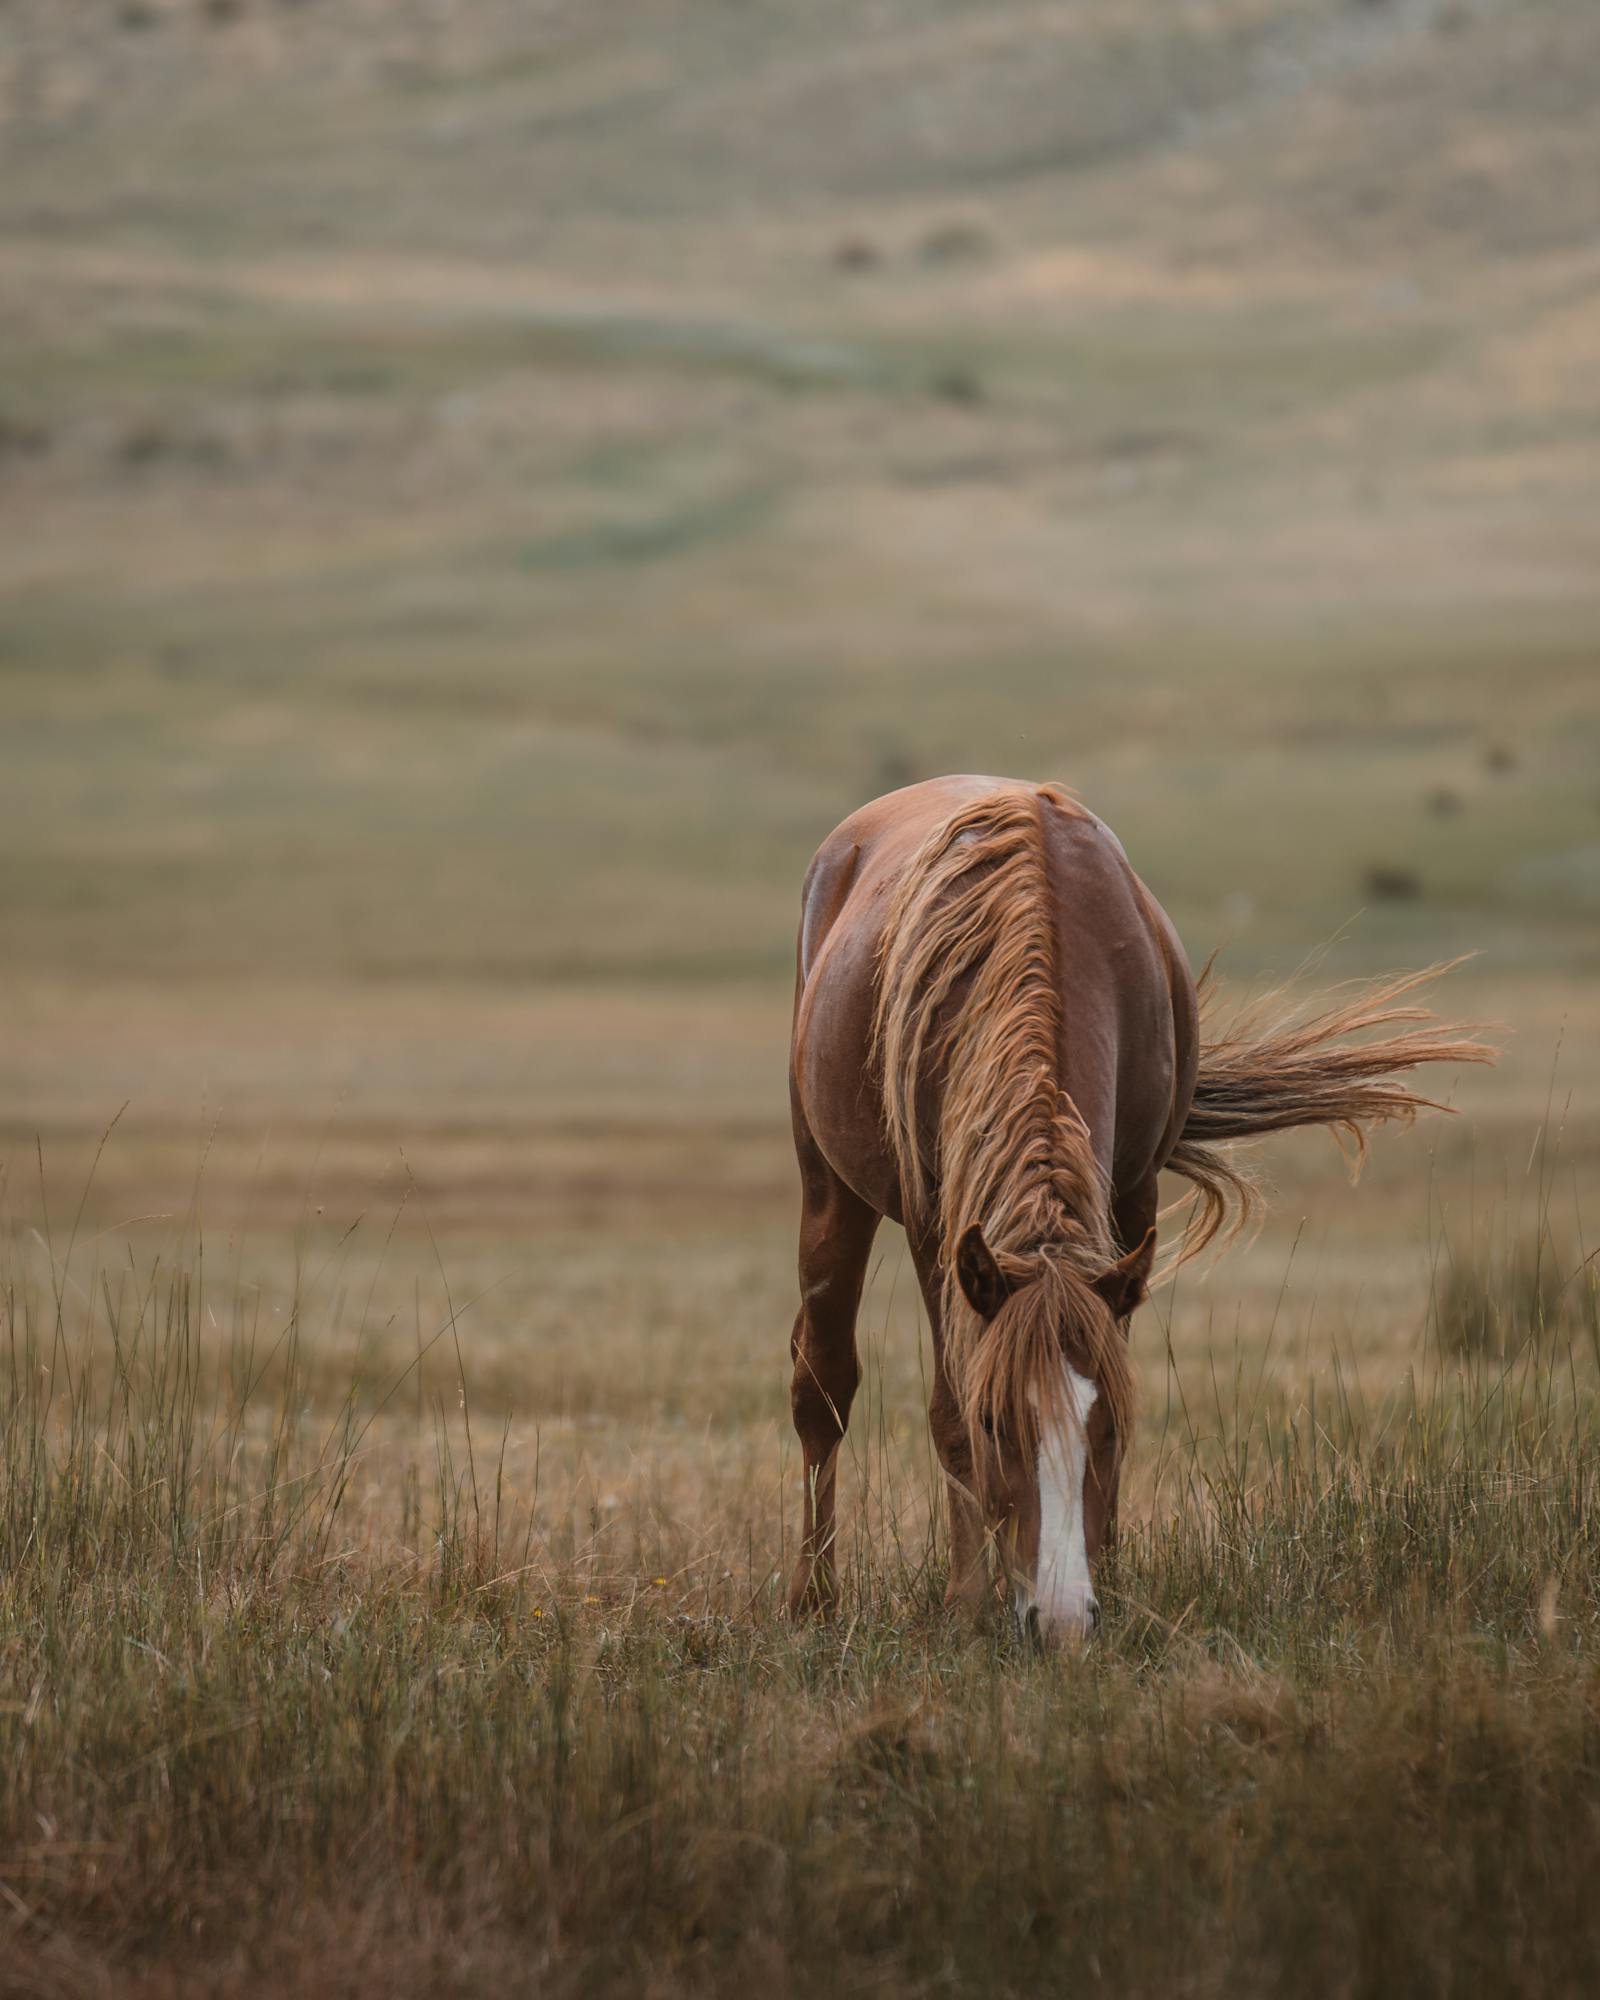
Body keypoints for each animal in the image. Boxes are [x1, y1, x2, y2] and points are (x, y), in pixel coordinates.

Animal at [788, 776, 1488, 1640]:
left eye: (1107, 1426)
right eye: (998, 1426)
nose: (1059, 1623)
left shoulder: (1131, 1199)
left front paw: (1113, 1586)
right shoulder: (938, 1228)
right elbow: (948, 1411)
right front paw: (966, 1604)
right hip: (829, 1185)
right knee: (822, 1386)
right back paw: (813, 1600)